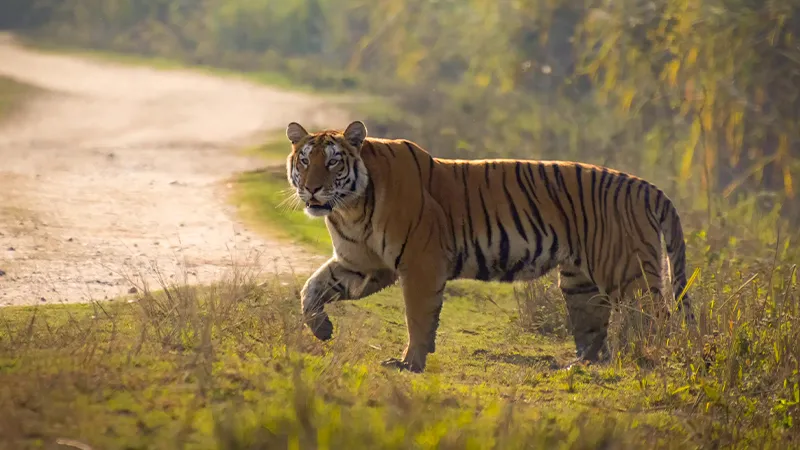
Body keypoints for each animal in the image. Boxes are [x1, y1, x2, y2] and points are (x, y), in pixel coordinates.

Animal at [285, 120, 695, 373]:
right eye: (304, 161)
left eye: (333, 163)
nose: (312, 189)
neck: (350, 206)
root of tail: (646, 187)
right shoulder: (362, 264)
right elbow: (312, 289)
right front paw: (321, 330)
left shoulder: (420, 263)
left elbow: (417, 316)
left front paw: (410, 364)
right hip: (579, 283)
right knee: (594, 331)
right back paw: (580, 367)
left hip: (627, 273)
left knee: (656, 319)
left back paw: (647, 359)